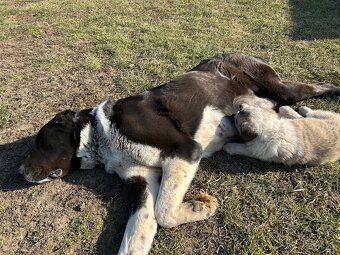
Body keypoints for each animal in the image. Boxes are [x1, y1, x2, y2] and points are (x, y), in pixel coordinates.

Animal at [19, 52, 338, 254]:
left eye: (40, 141)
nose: (20, 171)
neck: (103, 133)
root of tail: (230, 51)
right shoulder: (142, 183)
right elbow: (138, 235)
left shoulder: (185, 150)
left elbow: (164, 211)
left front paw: (200, 207)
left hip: (282, 88)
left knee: (316, 87)